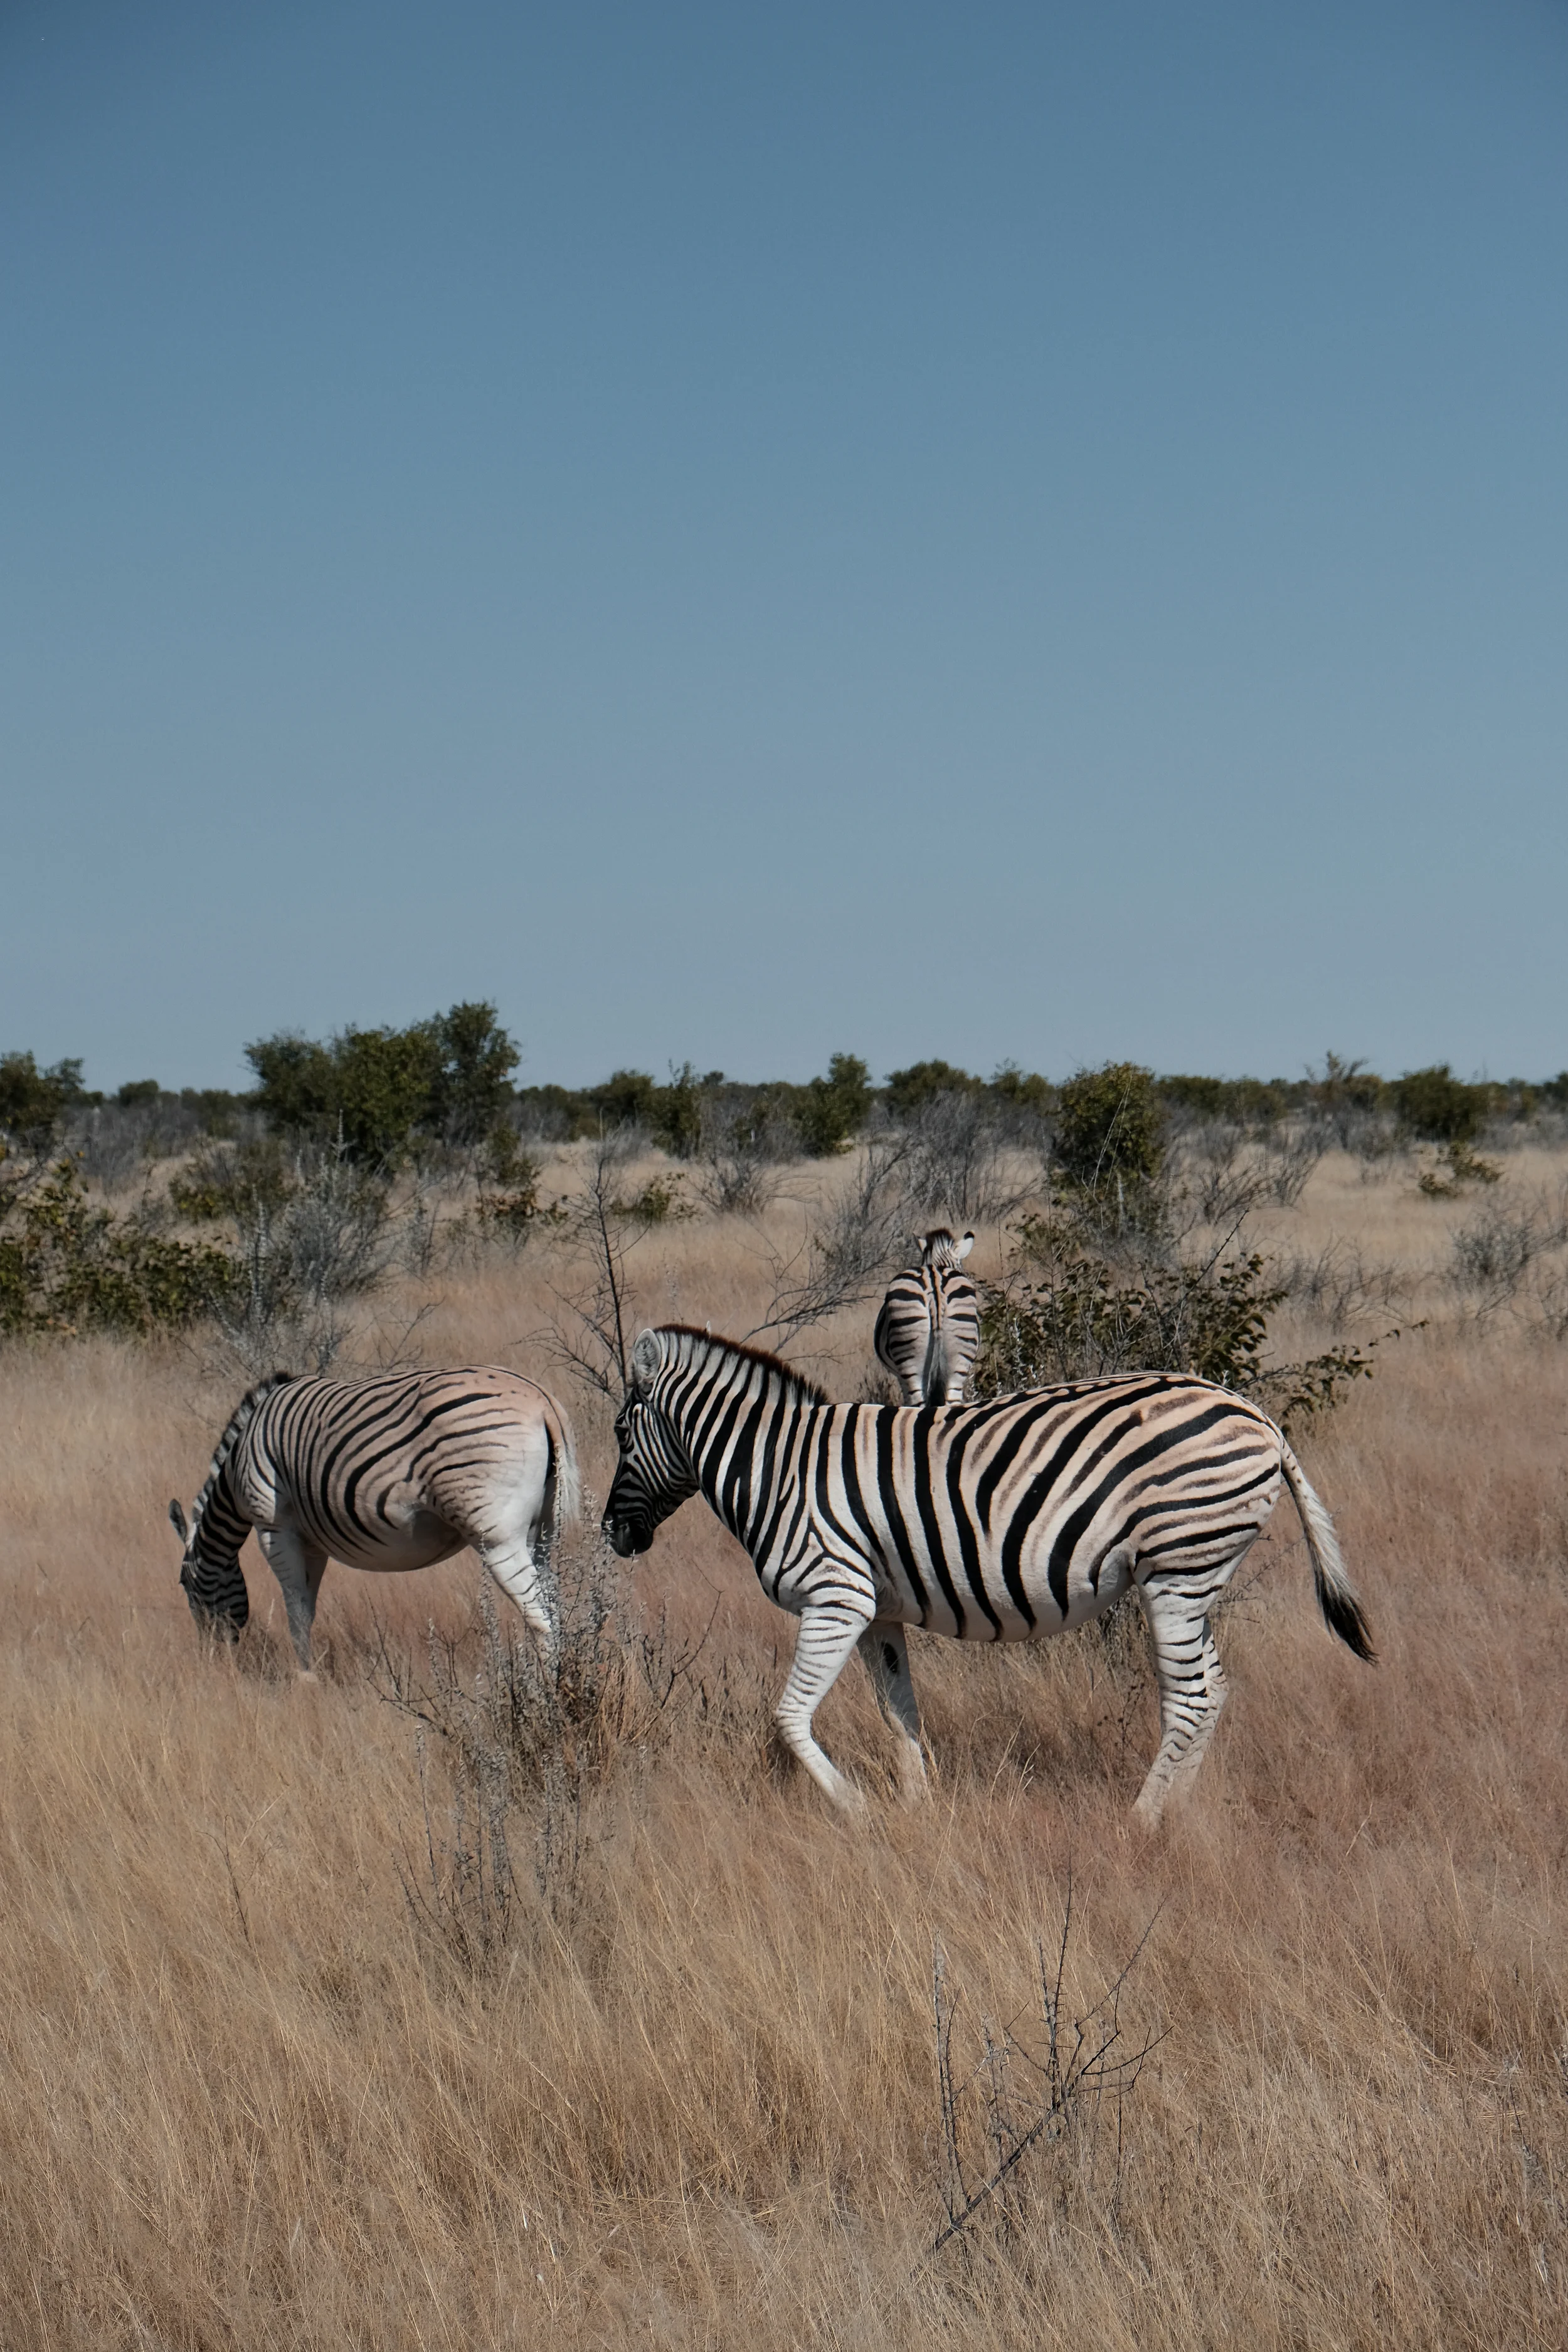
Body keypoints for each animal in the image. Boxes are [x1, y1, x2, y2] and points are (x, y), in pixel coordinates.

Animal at [169, 1366, 578, 1670]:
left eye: (183, 1583)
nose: (214, 1657)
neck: (239, 1464)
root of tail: (541, 1402)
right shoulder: (311, 1542)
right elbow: (307, 1609)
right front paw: (309, 1674)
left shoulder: (274, 1527)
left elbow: (296, 1612)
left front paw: (305, 1682)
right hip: (542, 1532)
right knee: (555, 1612)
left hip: (496, 1537)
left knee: (541, 1623)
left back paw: (544, 1702)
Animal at [603, 1325, 1373, 1825]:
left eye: (618, 1432)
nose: (612, 1532)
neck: (778, 1469)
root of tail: (1259, 1417)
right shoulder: (878, 1611)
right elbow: (899, 1712)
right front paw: (918, 1811)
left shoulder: (836, 1596)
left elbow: (789, 1716)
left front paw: (856, 1810)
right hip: (1195, 1574)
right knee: (1212, 1690)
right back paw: (1177, 1810)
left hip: (1177, 1571)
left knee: (1190, 1698)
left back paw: (1141, 1822)